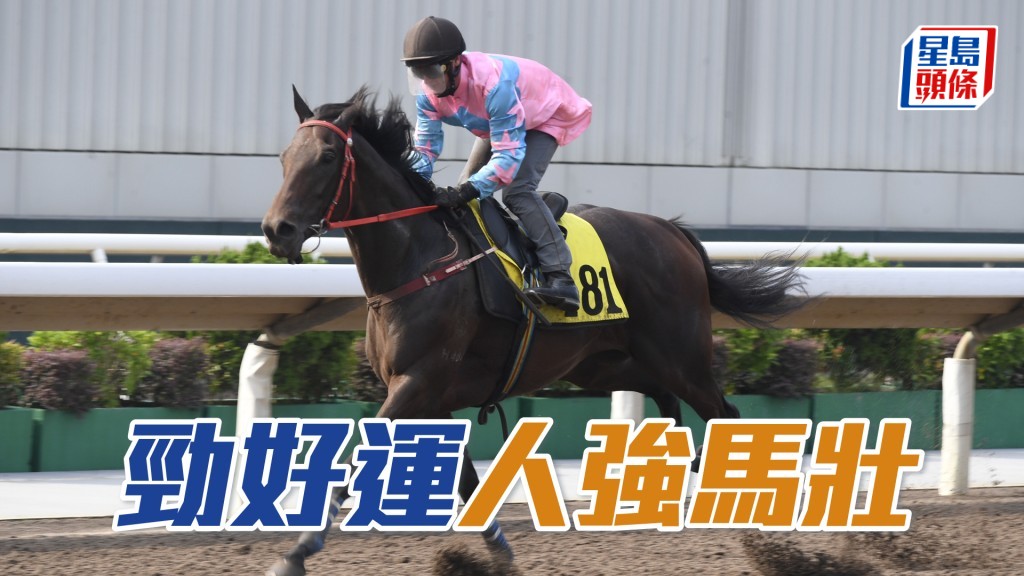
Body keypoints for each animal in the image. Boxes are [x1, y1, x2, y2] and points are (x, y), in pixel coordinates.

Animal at [260, 86, 806, 575]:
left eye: (328, 156)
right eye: (285, 157)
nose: (276, 230)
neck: (418, 260)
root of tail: (674, 231)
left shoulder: (417, 382)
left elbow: (356, 460)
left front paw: (296, 553)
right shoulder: (432, 394)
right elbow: (466, 481)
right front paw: (497, 554)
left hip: (682, 359)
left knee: (724, 415)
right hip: (604, 364)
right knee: (665, 400)